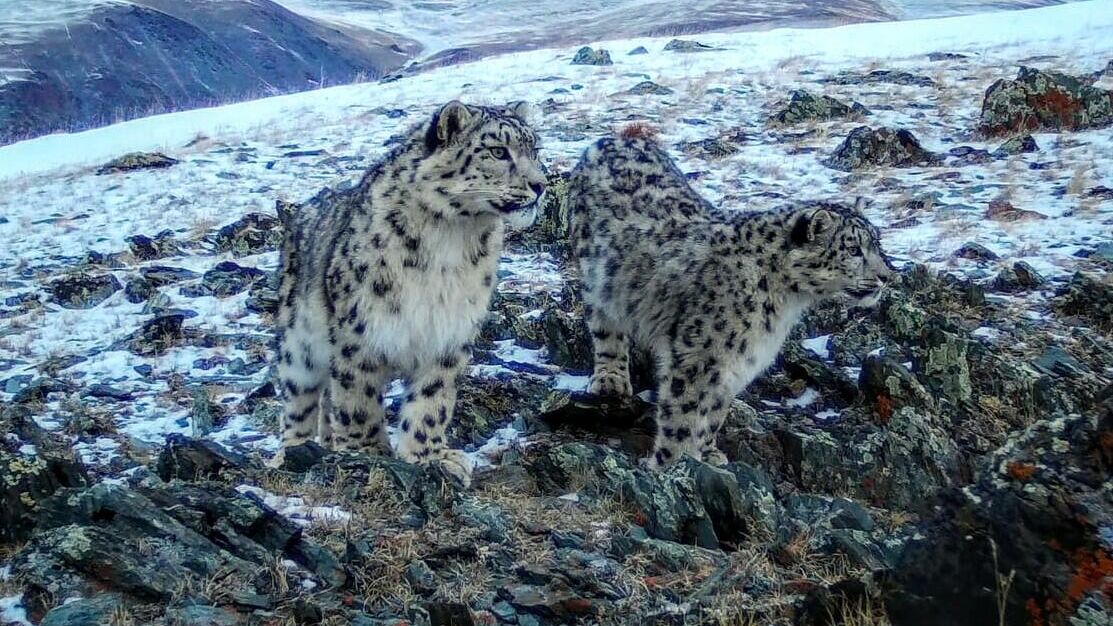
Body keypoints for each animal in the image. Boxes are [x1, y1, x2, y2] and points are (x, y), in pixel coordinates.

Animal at [271, 101, 545, 483]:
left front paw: (431, 457)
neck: (452, 241)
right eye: (497, 151)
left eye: (535, 150)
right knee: (300, 400)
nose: (541, 185)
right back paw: (292, 453)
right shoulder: (362, 331)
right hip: (300, 345)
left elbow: (431, 401)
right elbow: (357, 397)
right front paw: (367, 451)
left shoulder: (448, 332)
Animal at [569, 137, 890, 467]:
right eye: (853, 249)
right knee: (606, 329)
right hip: (596, 281)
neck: (785, 303)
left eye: (876, 243)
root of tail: (617, 137)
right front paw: (673, 462)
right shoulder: (698, 355)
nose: (886, 276)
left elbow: (715, 409)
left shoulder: (738, 361)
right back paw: (610, 379)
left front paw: (709, 452)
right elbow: (683, 414)